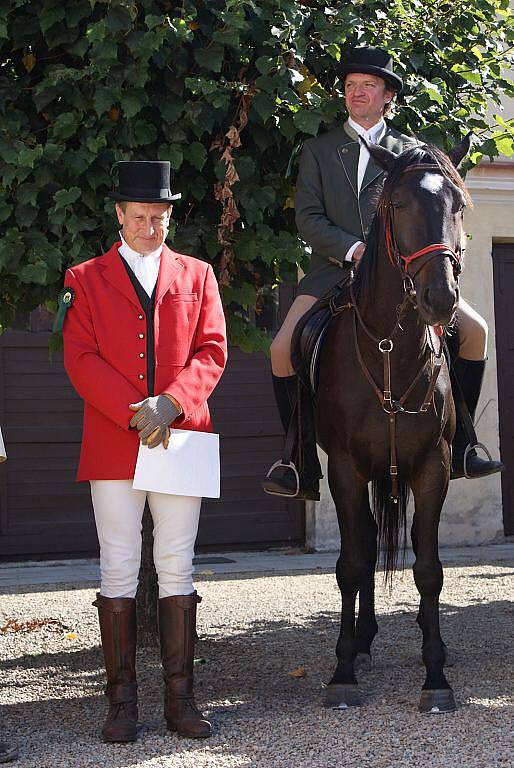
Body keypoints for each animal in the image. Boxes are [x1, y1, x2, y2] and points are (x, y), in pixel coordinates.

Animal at [318, 138, 470, 712]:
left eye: (458, 205)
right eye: (398, 205)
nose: (440, 299)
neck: (389, 351)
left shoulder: (433, 466)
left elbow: (428, 569)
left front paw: (436, 677)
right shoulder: (344, 469)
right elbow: (352, 565)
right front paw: (342, 674)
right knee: (362, 543)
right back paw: (360, 644)